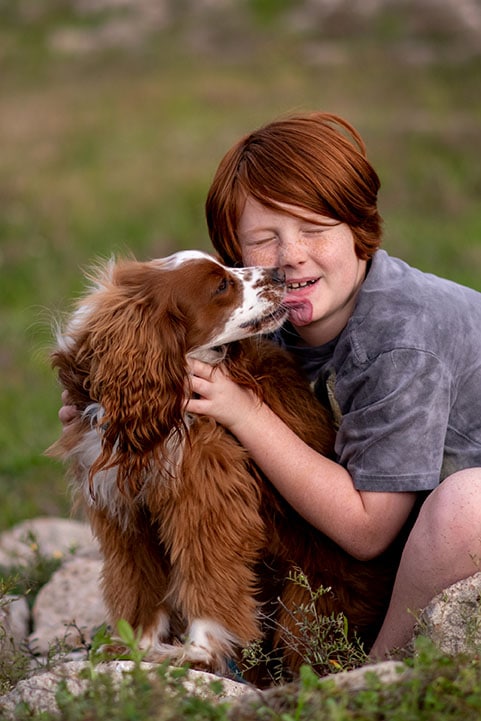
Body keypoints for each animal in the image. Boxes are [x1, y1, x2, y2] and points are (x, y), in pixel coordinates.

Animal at [47, 250, 402, 684]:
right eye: (220, 285)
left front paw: (197, 653)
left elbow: (208, 574)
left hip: (305, 606)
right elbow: (142, 586)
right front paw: (137, 648)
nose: (279, 273)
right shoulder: (125, 511)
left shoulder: (207, 495)